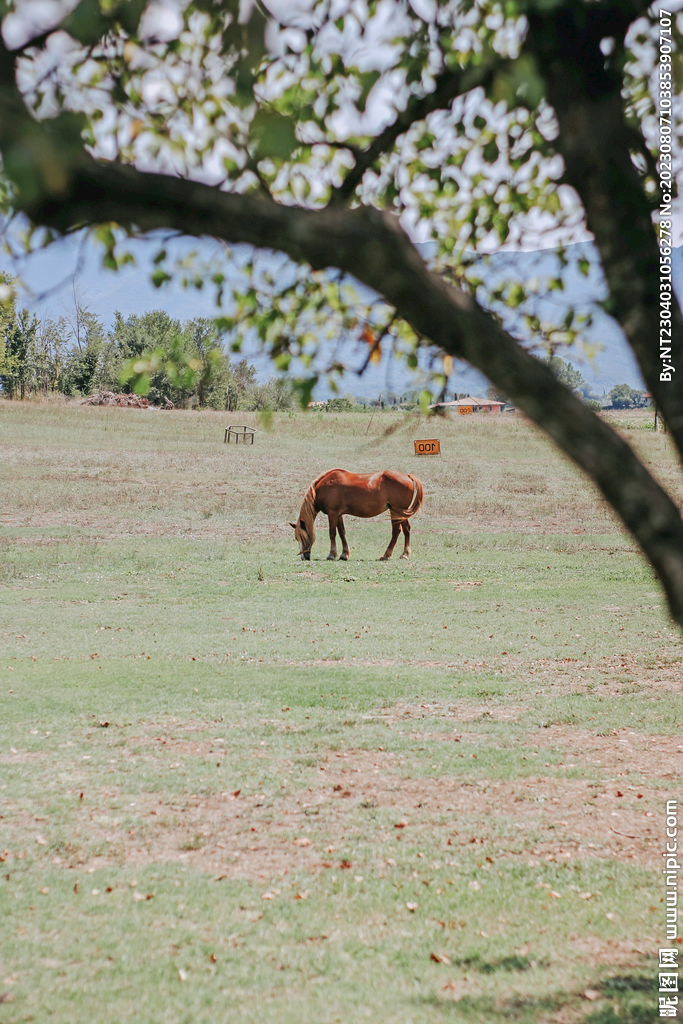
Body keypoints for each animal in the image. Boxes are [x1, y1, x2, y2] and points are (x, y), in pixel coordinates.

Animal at [290, 469, 424, 561]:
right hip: (400, 513)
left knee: (397, 531)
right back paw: (404, 554)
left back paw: (388, 555)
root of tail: (407, 476)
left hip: (396, 511)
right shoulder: (338, 515)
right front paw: (344, 554)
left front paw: (332, 554)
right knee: (406, 530)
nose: (304, 557)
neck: (323, 488)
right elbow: (342, 533)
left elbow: (332, 533)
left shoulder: (332, 513)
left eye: (301, 537)